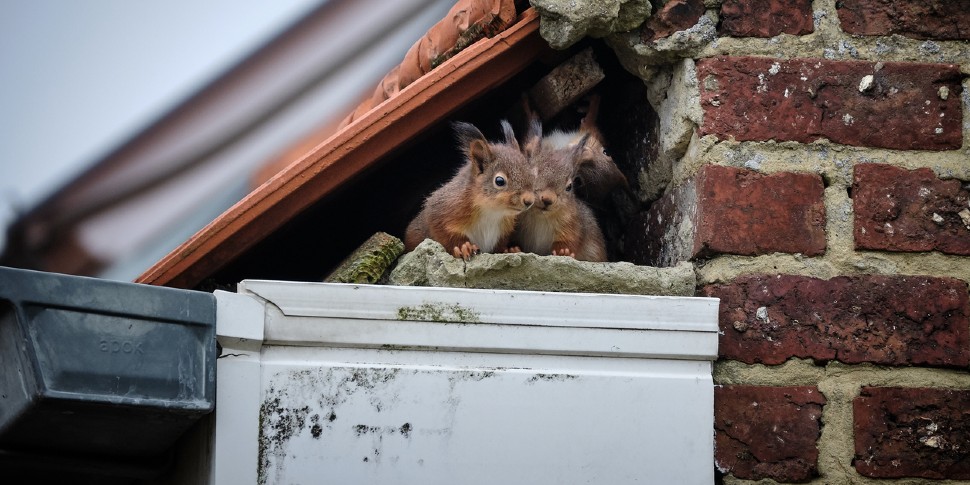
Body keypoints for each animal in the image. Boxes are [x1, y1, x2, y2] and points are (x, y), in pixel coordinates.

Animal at [402, 119, 536, 260]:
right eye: (499, 181)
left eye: (532, 175)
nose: (529, 201)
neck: (492, 212)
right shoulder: (442, 209)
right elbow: (442, 232)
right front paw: (463, 247)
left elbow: (500, 246)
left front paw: (509, 249)